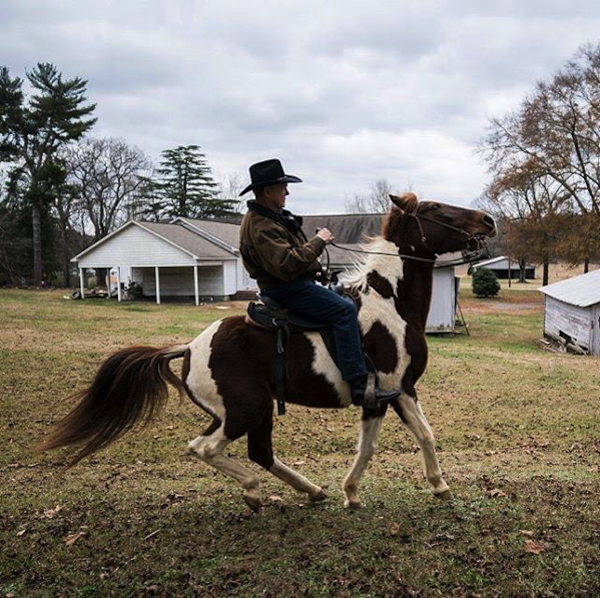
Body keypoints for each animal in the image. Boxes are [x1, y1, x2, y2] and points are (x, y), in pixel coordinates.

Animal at [38, 195, 496, 512]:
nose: (488, 220)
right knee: (204, 448)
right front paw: (424, 487)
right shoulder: (393, 390)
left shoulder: (390, 395)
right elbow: (403, 440)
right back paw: (256, 493)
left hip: (250, 412)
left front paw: (365, 492)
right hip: (245, 410)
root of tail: (190, 348)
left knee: (258, 452)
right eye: (435, 208)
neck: (389, 301)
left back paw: (312, 490)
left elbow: (397, 440)